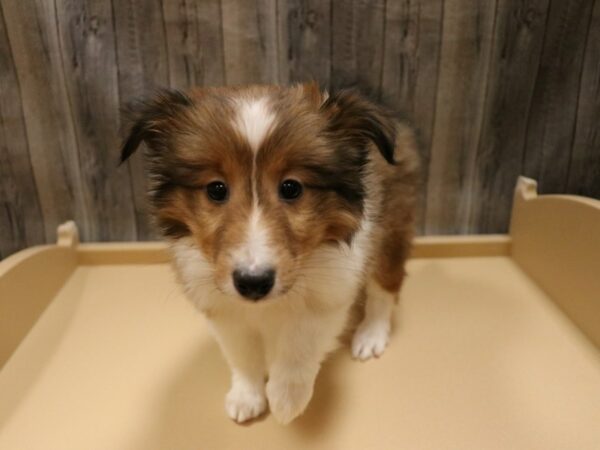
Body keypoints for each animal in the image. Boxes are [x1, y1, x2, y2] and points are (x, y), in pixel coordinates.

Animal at [119, 82, 420, 424]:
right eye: (216, 189)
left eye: (291, 188)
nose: (253, 283)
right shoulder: (223, 307)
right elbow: (242, 353)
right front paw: (247, 395)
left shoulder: (330, 291)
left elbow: (299, 343)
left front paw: (286, 398)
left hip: (391, 230)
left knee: (386, 286)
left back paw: (371, 336)